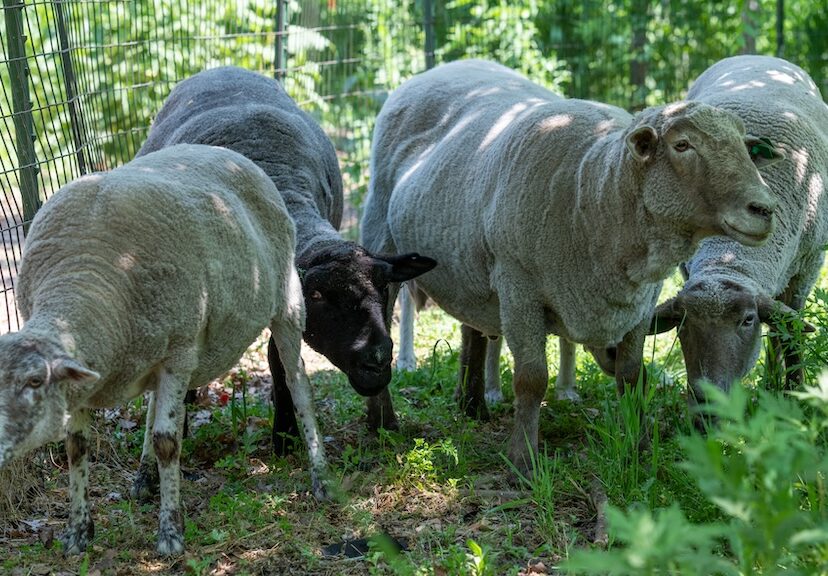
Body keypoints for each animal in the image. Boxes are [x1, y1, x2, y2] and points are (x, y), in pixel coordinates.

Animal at [0, 145, 328, 560]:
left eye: (34, 381)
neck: (85, 279)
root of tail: (231, 154)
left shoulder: (179, 353)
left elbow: (167, 442)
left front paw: (170, 533)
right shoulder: (87, 378)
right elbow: (76, 448)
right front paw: (77, 534)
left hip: (286, 301)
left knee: (298, 383)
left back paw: (321, 476)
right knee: (157, 404)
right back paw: (144, 479)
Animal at [137, 67, 436, 436]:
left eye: (384, 287)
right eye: (318, 295)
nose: (377, 363)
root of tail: (222, 68)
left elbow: (280, 361)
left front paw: (285, 433)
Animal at [360, 59, 776, 472]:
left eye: (745, 147)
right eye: (682, 145)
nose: (765, 209)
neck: (593, 190)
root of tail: (445, 67)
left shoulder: (640, 305)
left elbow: (631, 374)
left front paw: (638, 447)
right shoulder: (519, 289)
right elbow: (531, 379)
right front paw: (523, 460)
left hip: (468, 266)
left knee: (472, 329)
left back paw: (472, 405)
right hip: (382, 237)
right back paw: (383, 422)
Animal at [652, 56, 824, 402]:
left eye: (747, 320)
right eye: (682, 323)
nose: (708, 400)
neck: (729, 257)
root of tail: (760, 57)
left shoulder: (808, 265)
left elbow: (791, 329)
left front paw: (795, 392)